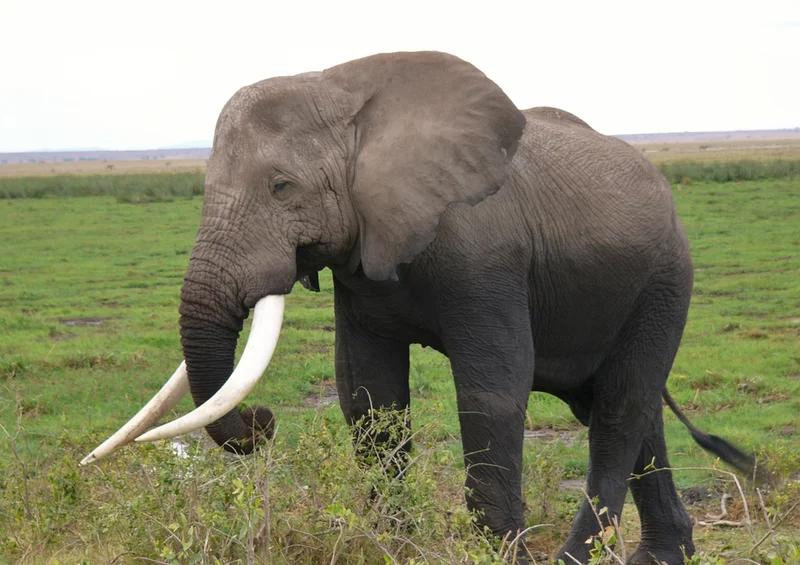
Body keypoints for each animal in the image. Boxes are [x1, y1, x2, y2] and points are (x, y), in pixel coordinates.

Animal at [82, 51, 755, 564]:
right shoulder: (361, 258)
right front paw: (394, 552)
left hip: (665, 280)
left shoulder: (488, 255)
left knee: (619, 410)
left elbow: (492, 389)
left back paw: (575, 557)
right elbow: (367, 392)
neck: (343, 93)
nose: (262, 422)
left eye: (281, 187)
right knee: (631, 410)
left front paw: (498, 557)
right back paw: (662, 558)